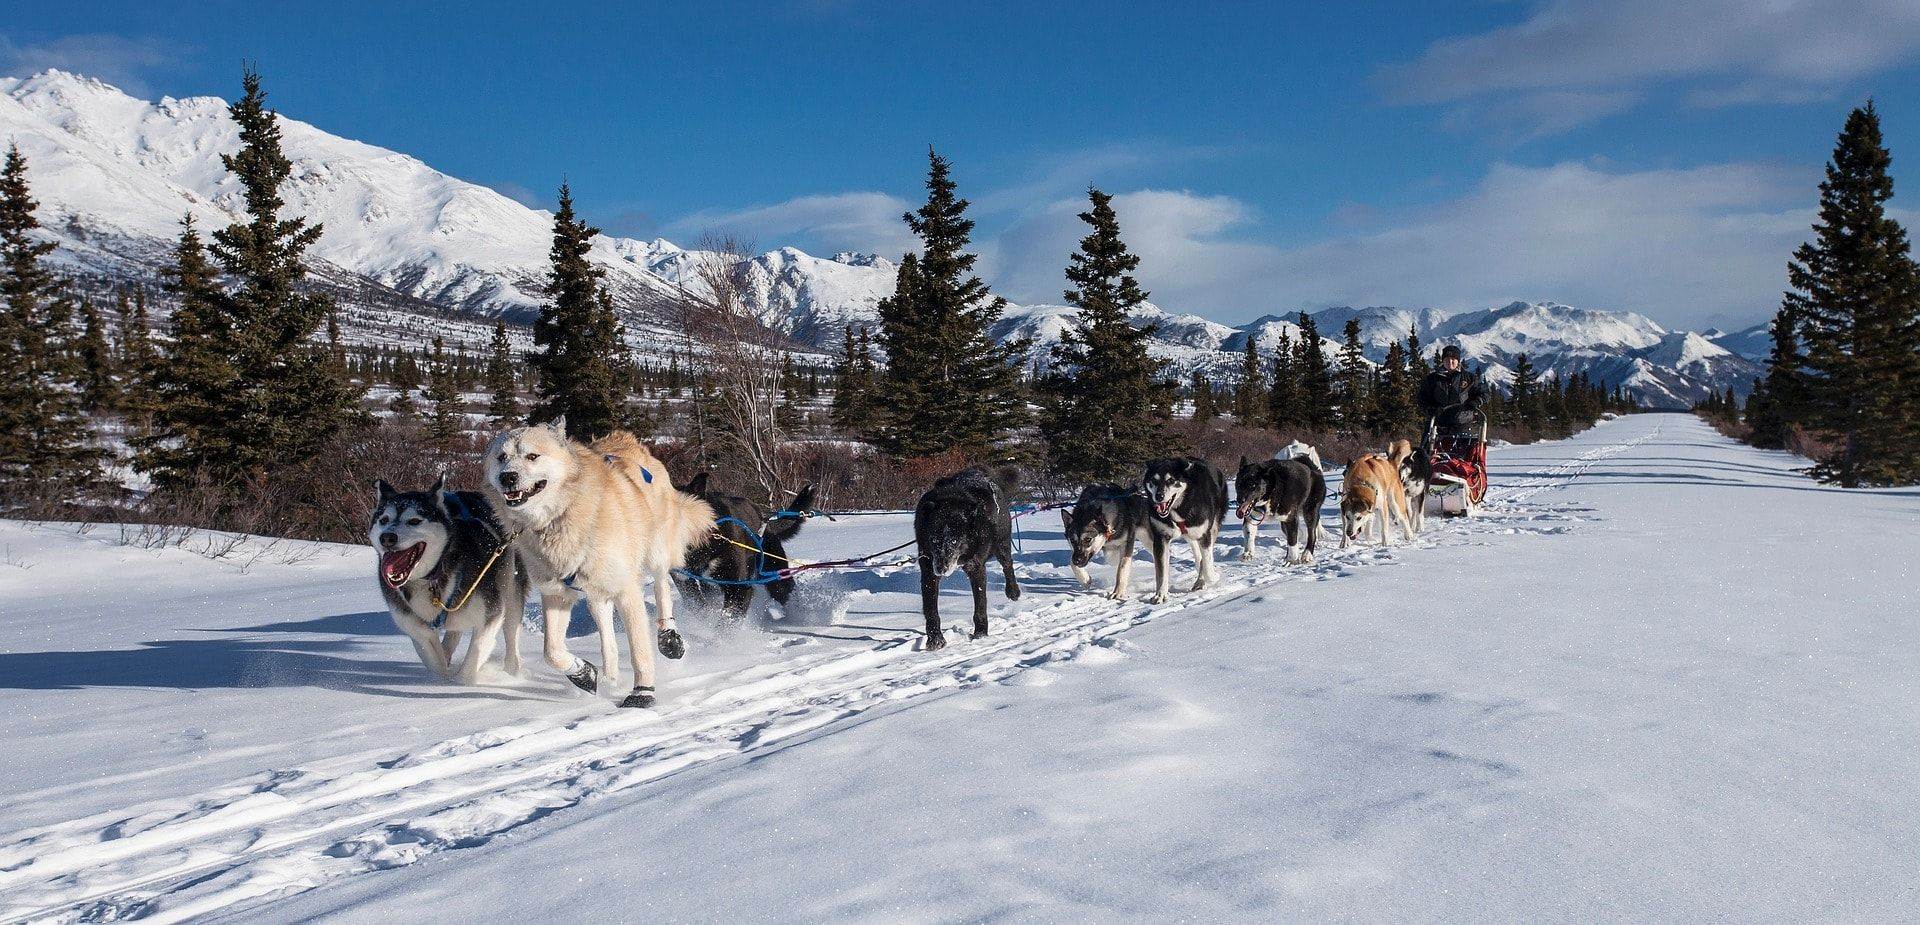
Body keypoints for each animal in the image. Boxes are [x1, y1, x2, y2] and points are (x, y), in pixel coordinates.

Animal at [366, 477, 529, 687]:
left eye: (414, 521)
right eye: (384, 519)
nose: (387, 537)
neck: (431, 578)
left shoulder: (489, 616)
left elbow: (472, 660)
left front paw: (458, 684)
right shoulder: (416, 628)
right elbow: (433, 658)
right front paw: (441, 680)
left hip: (511, 592)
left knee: (511, 635)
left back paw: (512, 672)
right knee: (452, 634)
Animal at [483, 418, 718, 710]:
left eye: (532, 456)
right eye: (501, 458)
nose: (508, 477)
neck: (560, 517)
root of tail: (626, 439)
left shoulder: (627, 590)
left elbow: (639, 649)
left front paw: (642, 692)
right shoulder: (556, 594)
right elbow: (552, 651)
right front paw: (583, 673)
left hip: (655, 553)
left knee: (662, 585)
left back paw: (669, 638)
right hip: (596, 594)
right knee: (606, 634)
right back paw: (609, 675)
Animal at [675, 477, 810, 621]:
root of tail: (763, 517)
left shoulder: (739, 588)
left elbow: (728, 619)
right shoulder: (685, 583)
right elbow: (697, 607)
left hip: (774, 575)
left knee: (785, 592)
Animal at [913, 470, 1021, 648]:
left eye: (954, 541)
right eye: (934, 540)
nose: (941, 569)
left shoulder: (976, 568)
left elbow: (980, 605)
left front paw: (981, 634)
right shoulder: (929, 570)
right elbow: (931, 609)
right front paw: (935, 639)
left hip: (1002, 545)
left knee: (1008, 565)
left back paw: (1013, 591)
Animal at [1136, 456, 1228, 602]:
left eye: (1171, 480)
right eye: (1154, 481)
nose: (1159, 496)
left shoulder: (1205, 535)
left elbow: (1207, 565)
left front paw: (1213, 577)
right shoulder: (1161, 539)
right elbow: (1161, 571)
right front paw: (1160, 595)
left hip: (1212, 527)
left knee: (1204, 558)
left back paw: (1202, 579)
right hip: (1190, 535)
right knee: (1197, 554)